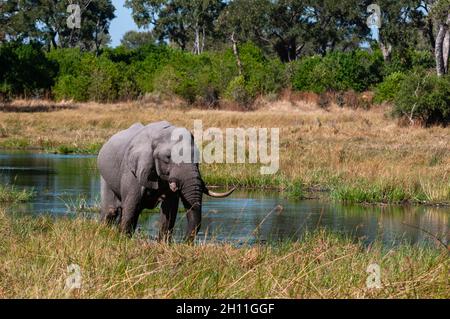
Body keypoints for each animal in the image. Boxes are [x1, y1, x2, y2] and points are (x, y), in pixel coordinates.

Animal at [96, 121, 234, 241]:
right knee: (111, 210)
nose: (185, 242)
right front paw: (123, 240)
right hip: (104, 175)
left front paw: (163, 244)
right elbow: (131, 205)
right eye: (168, 157)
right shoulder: (132, 171)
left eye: (197, 157)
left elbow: (169, 209)